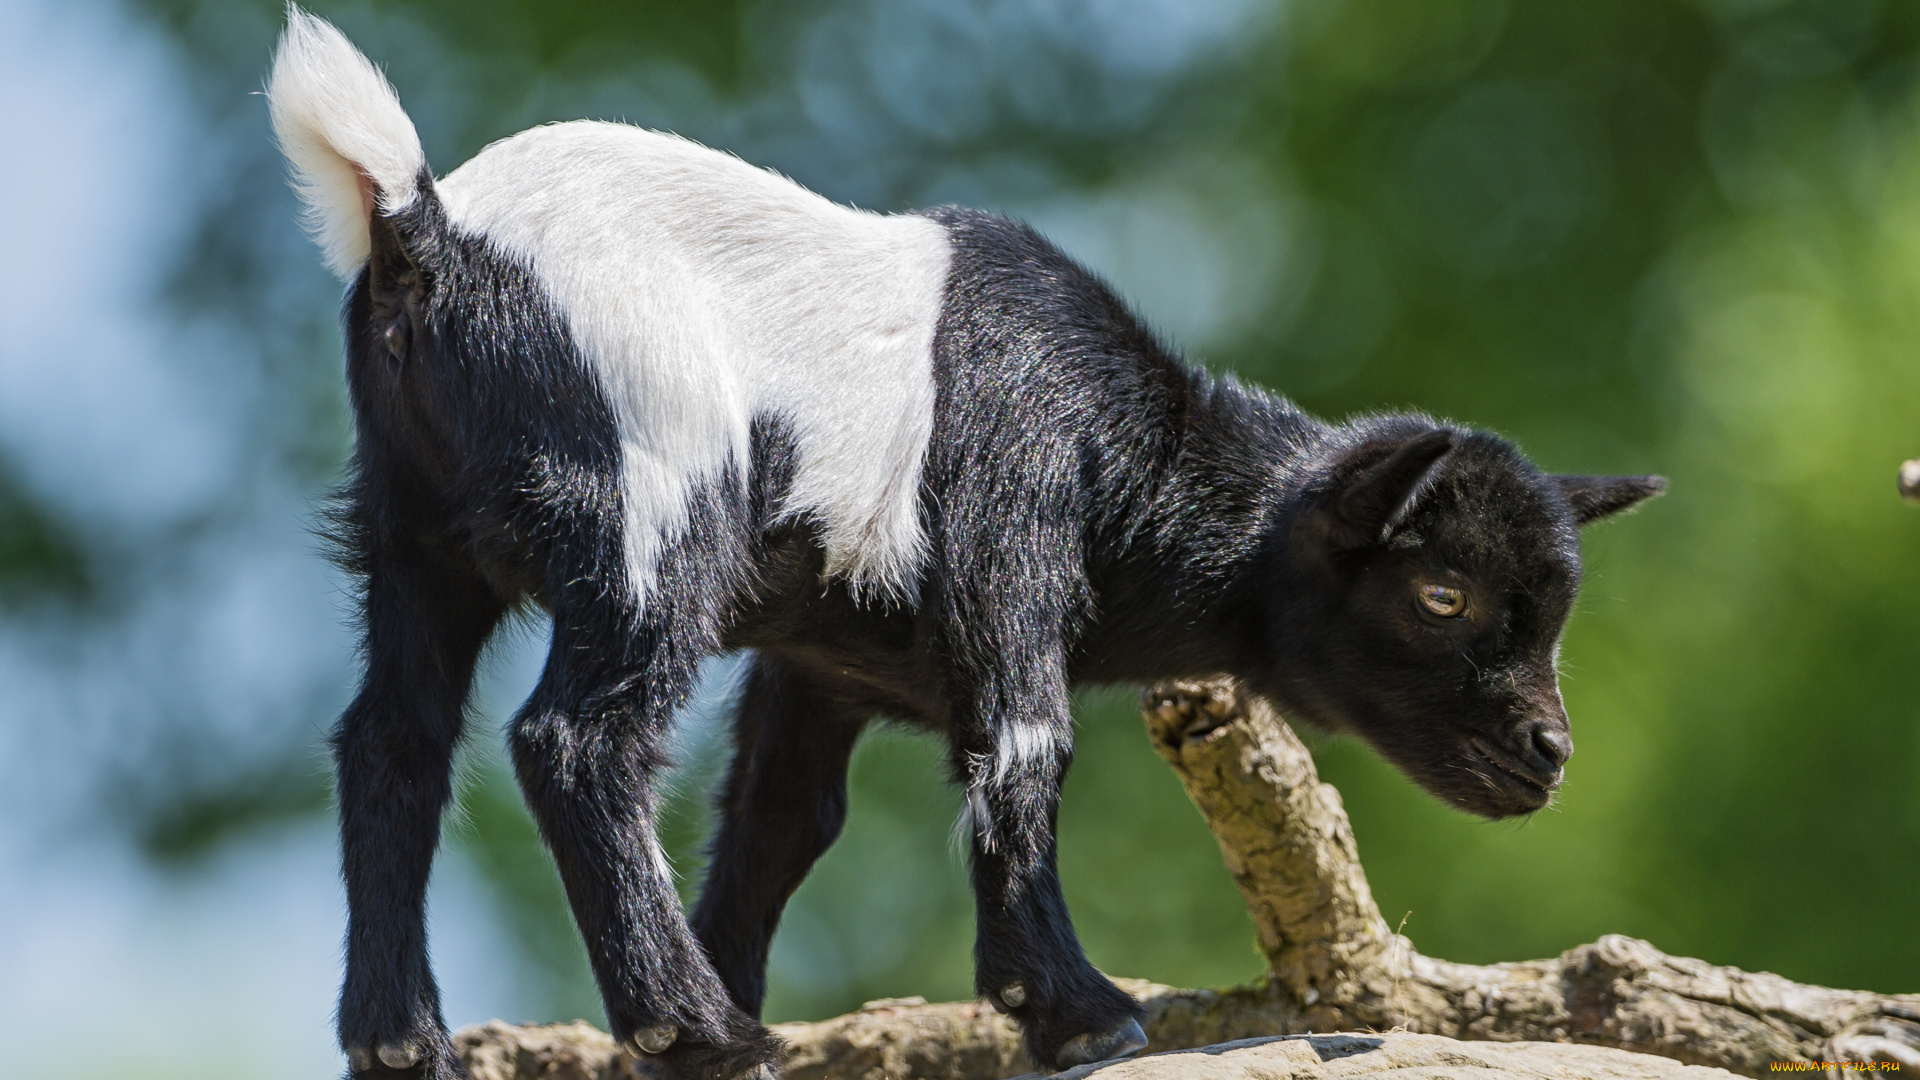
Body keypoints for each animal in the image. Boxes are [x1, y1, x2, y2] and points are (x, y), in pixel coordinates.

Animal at [270, 12, 1666, 1076]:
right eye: (1442, 596)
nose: (1548, 755)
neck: (1134, 454)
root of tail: (423, 228)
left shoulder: (817, 661)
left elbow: (781, 821)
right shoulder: (1016, 520)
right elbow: (1024, 747)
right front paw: (1083, 1015)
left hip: (410, 528)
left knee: (392, 741)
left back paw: (408, 1042)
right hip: (650, 498)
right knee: (575, 740)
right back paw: (696, 1027)